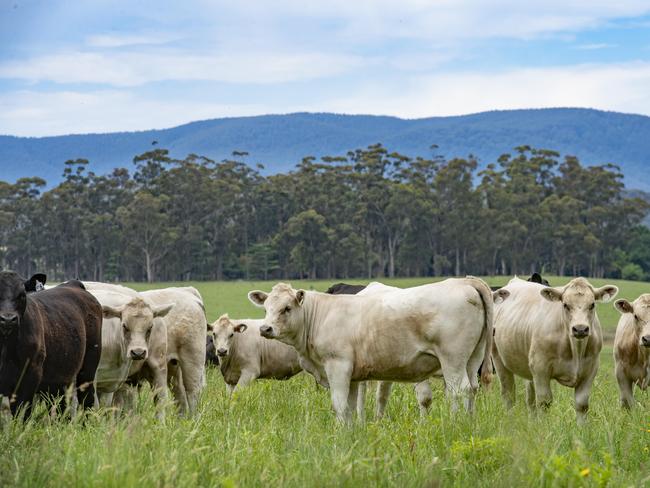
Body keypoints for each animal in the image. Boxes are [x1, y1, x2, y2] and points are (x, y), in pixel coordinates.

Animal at [0, 270, 102, 416]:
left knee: (87, 400)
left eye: (22, 295)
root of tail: (73, 284)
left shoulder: (30, 377)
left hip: (88, 369)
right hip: (59, 378)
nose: (8, 319)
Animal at [251, 278, 494, 424]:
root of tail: (463, 281)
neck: (320, 316)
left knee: (458, 390)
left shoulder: (338, 366)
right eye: (266, 309)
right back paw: (469, 422)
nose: (265, 329)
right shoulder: (352, 376)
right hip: (473, 359)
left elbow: (339, 405)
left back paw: (455, 423)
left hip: (452, 360)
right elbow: (350, 406)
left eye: (287, 308)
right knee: (472, 388)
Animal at [494, 278, 616, 424]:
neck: (576, 349)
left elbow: (582, 404)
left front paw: (582, 428)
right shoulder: (541, 367)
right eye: (565, 305)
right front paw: (543, 427)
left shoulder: (591, 369)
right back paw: (511, 421)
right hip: (499, 360)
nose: (580, 329)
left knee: (530, 399)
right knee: (509, 395)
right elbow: (544, 402)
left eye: (592, 305)